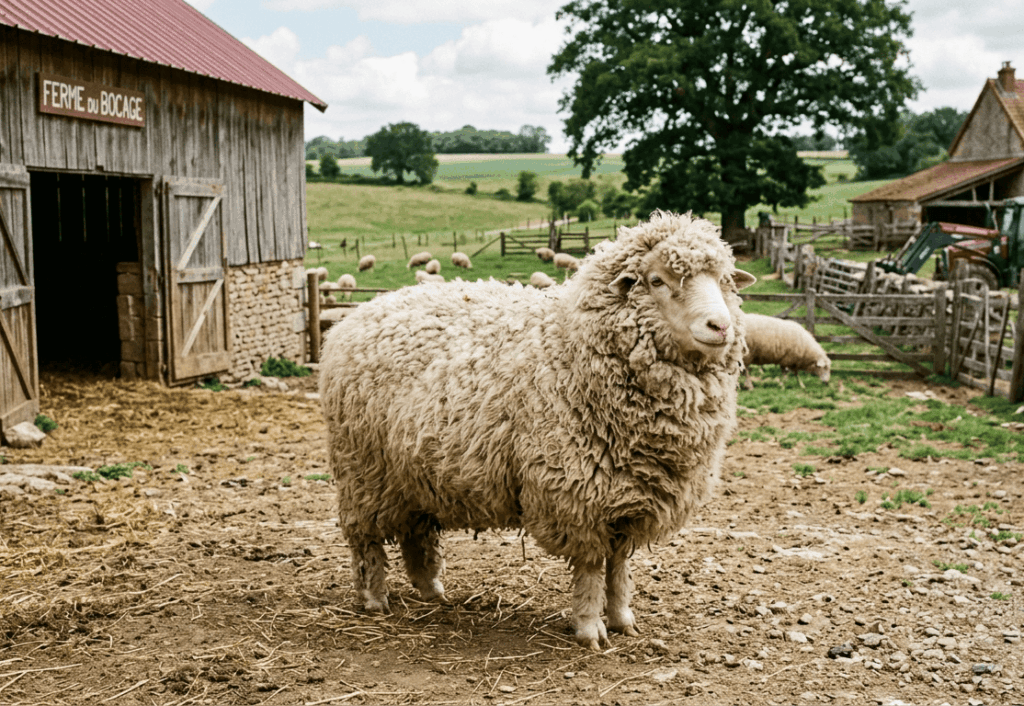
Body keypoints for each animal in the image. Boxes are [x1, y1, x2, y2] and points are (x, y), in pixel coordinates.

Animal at [319, 210, 756, 651]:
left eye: (725, 281)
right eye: (656, 280)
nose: (720, 326)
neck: (572, 347)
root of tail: (354, 317)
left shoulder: (630, 499)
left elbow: (618, 566)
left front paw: (622, 619)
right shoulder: (577, 497)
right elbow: (592, 567)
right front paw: (590, 628)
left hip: (414, 473)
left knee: (416, 532)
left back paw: (432, 592)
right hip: (364, 472)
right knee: (367, 539)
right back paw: (375, 598)